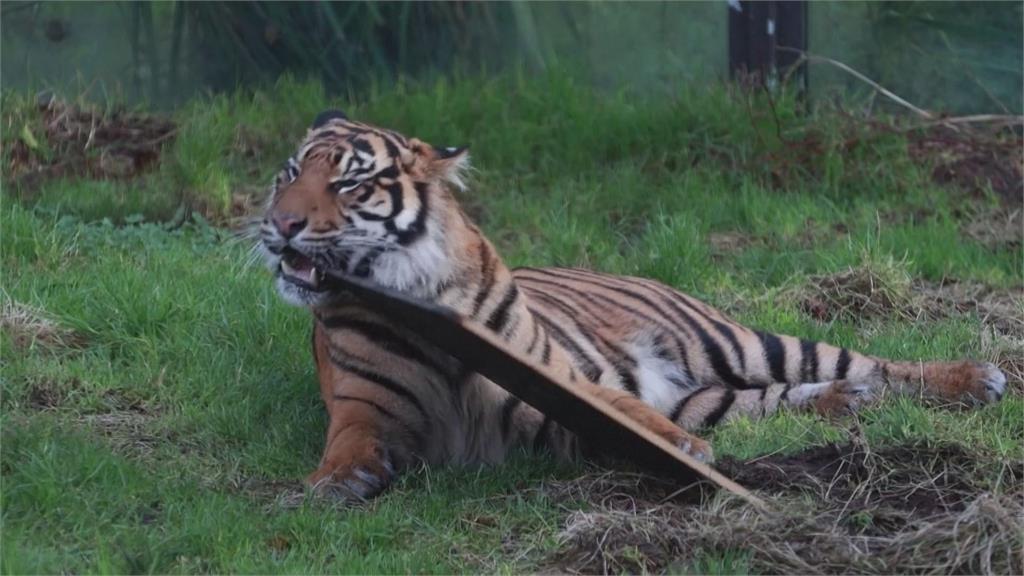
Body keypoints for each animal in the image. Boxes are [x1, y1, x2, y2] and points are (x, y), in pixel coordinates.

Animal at [258, 108, 1007, 498]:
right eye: (289, 174)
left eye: (349, 185)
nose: (280, 224)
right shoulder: (363, 405)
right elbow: (350, 440)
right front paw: (338, 479)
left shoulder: (555, 384)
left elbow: (621, 409)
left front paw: (680, 449)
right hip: (714, 393)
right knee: (779, 398)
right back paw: (842, 403)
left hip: (741, 343)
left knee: (873, 364)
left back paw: (975, 379)